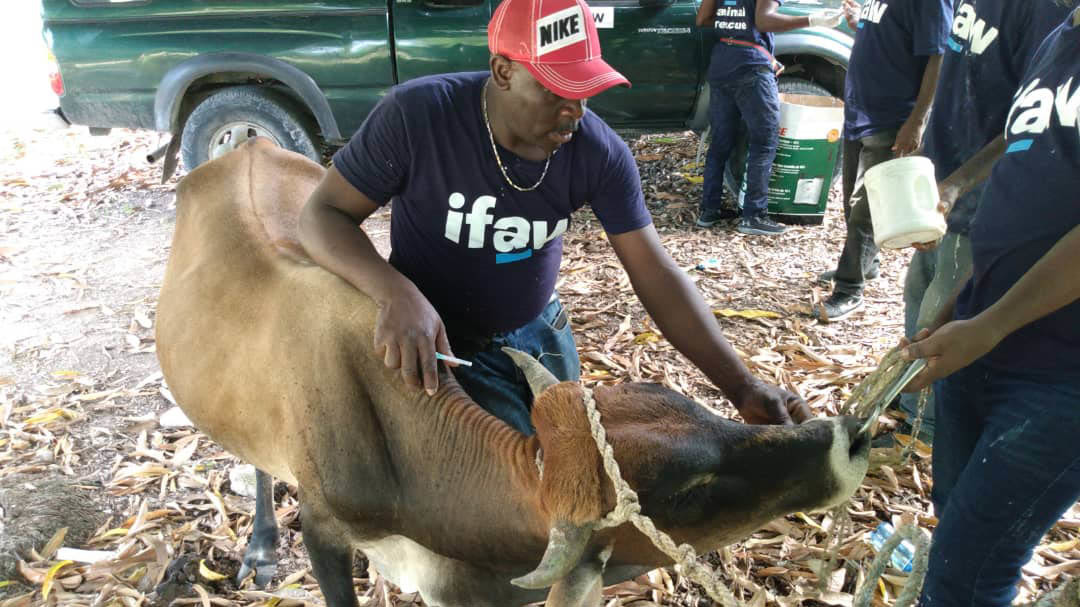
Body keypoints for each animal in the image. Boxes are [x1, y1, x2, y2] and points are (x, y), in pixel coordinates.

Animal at [156, 137, 872, 604]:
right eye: (689, 491)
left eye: (695, 406)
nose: (850, 438)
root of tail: (249, 142)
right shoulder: (324, 531)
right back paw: (259, 547)